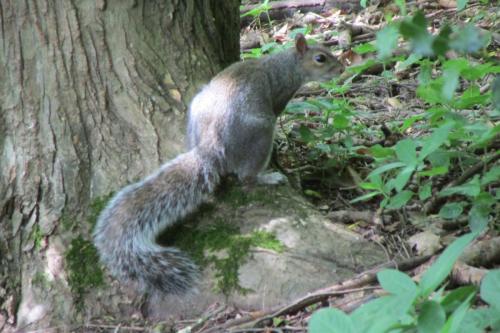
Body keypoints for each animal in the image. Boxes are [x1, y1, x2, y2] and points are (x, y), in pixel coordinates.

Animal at [93, 33, 344, 294]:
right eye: (320, 58)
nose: (342, 68)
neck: (284, 64)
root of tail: (210, 147)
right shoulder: (281, 93)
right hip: (261, 133)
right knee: (246, 177)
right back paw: (268, 177)